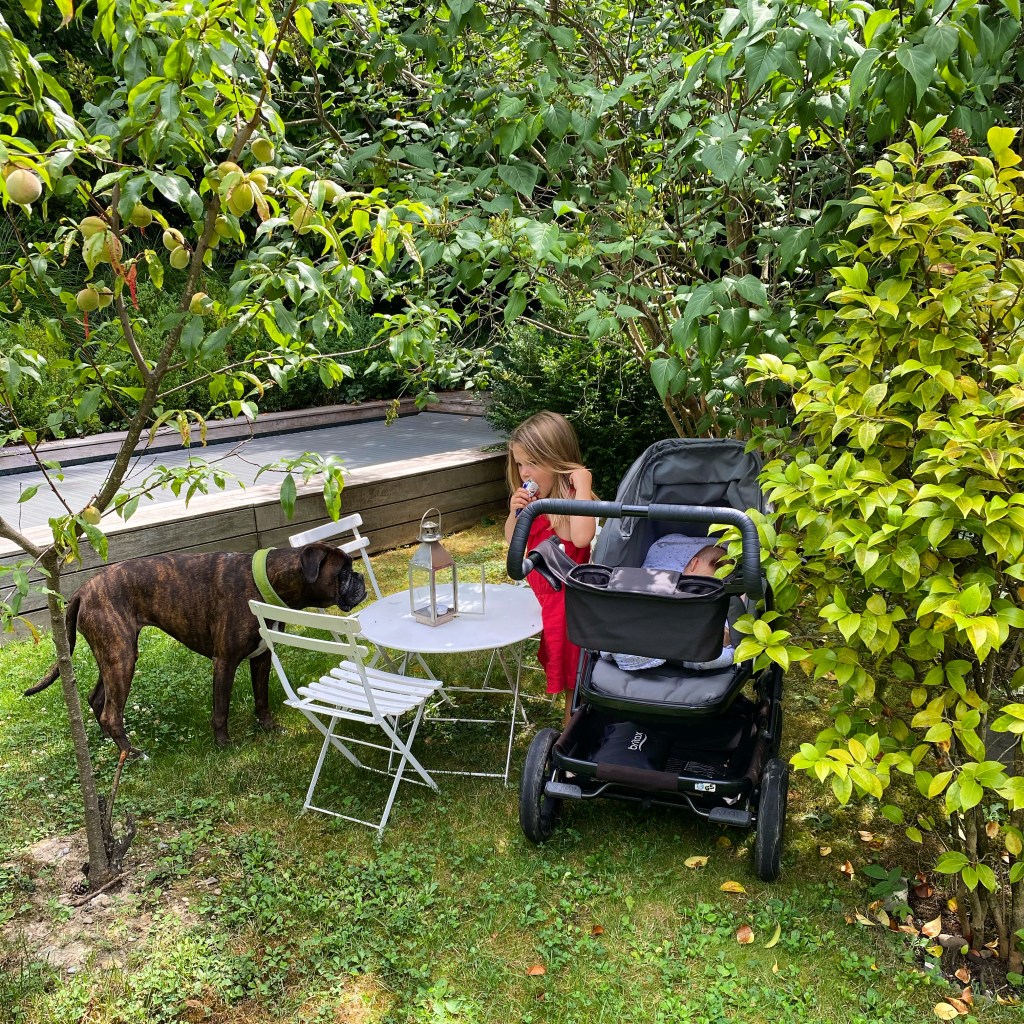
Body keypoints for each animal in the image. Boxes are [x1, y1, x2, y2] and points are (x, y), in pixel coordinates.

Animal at [25, 543, 367, 753]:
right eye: (343, 572)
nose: (361, 578)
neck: (266, 580)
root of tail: (83, 590)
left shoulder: (262, 659)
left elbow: (262, 698)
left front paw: (269, 729)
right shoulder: (225, 662)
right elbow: (221, 709)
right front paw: (223, 744)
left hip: (113, 656)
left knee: (98, 700)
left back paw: (113, 745)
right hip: (121, 657)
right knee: (111, 712)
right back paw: (132, 753)